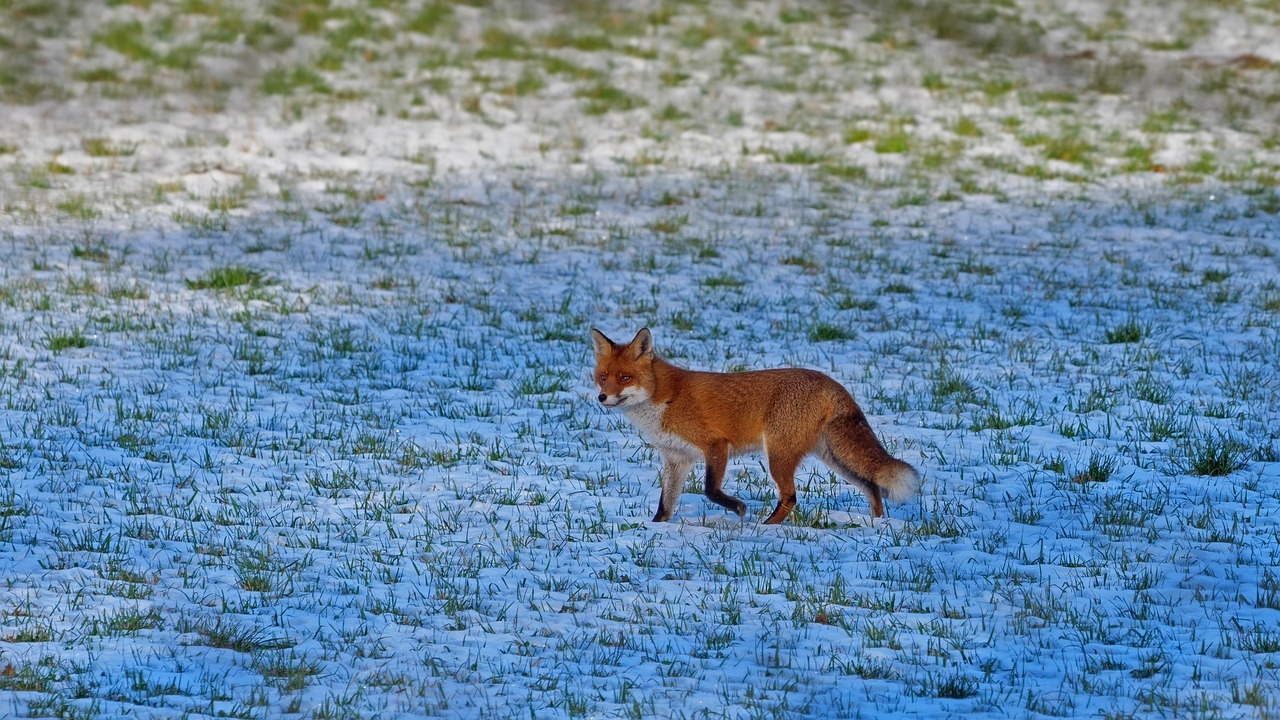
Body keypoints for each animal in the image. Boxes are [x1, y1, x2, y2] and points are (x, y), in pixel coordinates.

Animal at [591, 327, 921, 525]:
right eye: (603, 376)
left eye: (625, 378)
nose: (602, 397)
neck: (665, 397)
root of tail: (829, 381)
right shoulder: (676, 459)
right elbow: (665, 504)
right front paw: (656, 528)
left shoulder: (715, 444)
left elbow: (710, 489)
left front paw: (738, 509)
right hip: (833, 457)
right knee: (871, 486)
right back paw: (878, 523)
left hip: (778, 453)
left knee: (790, 496)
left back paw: (767, 527)